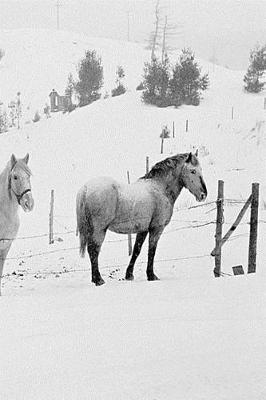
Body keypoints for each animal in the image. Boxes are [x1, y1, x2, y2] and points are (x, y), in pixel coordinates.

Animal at [76, 152, 207, 286]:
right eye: (193, 171)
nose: (203, 195)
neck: (160, 188)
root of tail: (86, 188)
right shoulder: (156, 229)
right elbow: (152, 251)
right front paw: (151, 275)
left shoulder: (143, 230)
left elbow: (136, 250)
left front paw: (129, 275)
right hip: (99, 230)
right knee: (94, 250)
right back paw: (98, 280)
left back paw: (95, 279)